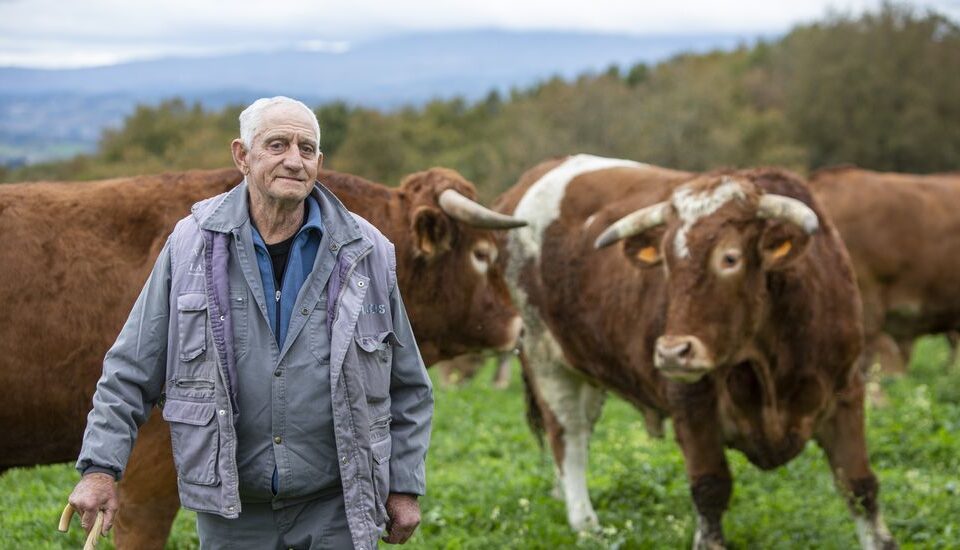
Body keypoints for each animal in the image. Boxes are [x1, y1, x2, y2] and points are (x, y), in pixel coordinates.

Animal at [498, 155, 896, 550]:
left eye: (730, 258)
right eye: (666, 262)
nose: (673, 352)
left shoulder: (846, 393)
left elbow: (860, 487)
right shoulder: (691, 404)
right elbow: (710, 488)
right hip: (545, 358)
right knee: (569, 436)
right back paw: (586, 524)